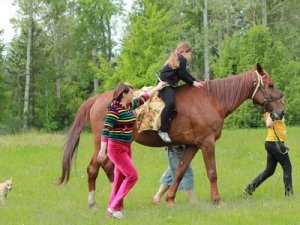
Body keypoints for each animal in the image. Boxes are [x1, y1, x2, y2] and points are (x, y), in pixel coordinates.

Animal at [58, 62, 284, 207]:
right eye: (271, 85)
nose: (281, 112)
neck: (212, 99)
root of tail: (97, 99)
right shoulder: (207, 143)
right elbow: (212, 172)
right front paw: (217, 200)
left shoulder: (192, 145)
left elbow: (180, 171)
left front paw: (170, 199)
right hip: (102, 142)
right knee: (94, 168)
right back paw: (96, 202)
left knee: (106, 167)